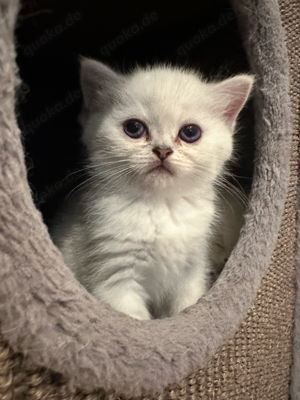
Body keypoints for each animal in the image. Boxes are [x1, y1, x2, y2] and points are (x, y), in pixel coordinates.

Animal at [49, 58, 253, 318]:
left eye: (190, 132)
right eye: (134, 128)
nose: (163, 150)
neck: (160, 206)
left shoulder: (191, 272)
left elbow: (185, 307)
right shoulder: (115, 279)